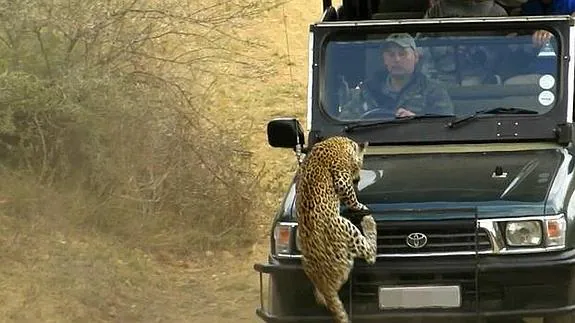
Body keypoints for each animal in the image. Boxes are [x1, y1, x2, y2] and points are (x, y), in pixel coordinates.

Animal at [294, 135, 380, 323]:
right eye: (361, 163)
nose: (357, 178)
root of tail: (325, 284)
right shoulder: (341, 179)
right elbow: (352, 200)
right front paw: (361, 206)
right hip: (345, 227)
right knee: (370, 254)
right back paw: (368, 220)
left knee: (320, 298)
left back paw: (320, 295)